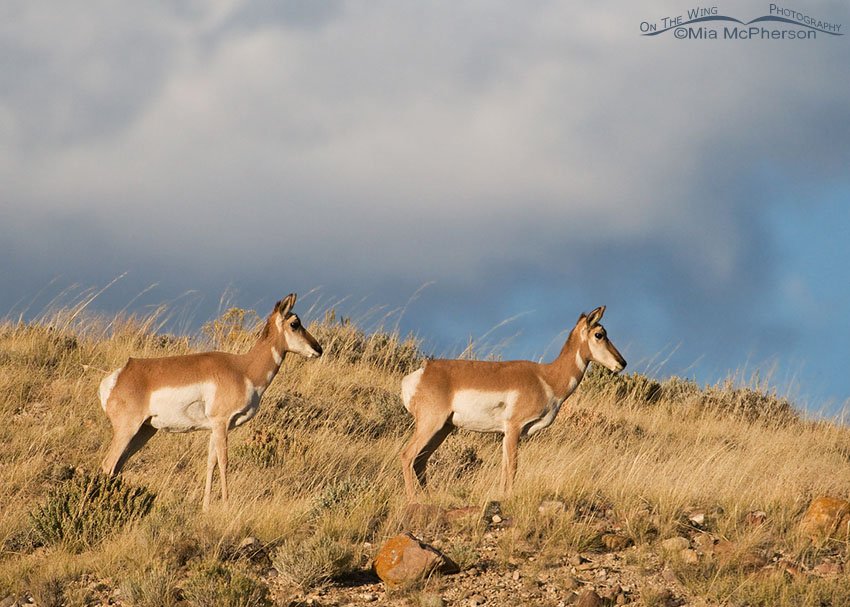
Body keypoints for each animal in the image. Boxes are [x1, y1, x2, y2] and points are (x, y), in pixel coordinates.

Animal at [99, 293, 323, 509]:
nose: (318, 349)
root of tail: (121, 375)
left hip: (145, 431)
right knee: (108, 464)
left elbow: (210, 462)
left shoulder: (214, 428)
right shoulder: (221, 423)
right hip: (128, 429)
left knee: (118, 465)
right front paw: (225, 505)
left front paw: (206, 507)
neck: (244, 369)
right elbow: (224, 462)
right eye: (295, 323)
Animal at [400, 306, 626, 499]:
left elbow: (504, 468)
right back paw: (413, 500)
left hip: (443, 429)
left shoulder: (505, 435)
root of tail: (424, 371)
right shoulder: (514, 429)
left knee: (420, 460)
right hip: (431, 424)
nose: (622, 363)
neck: (547, 378)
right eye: (599, 334)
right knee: (408, 455)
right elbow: (513, 467)